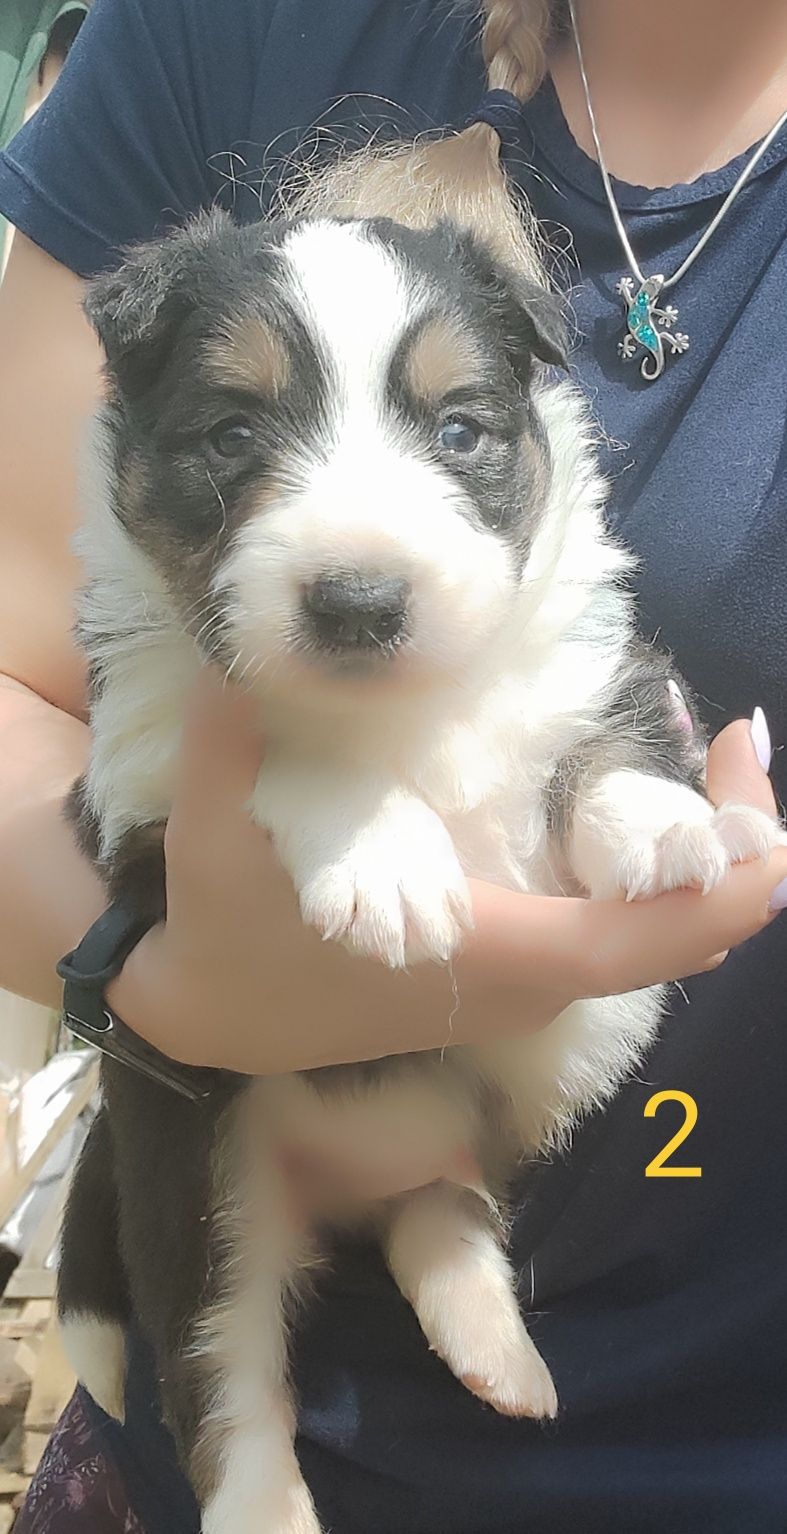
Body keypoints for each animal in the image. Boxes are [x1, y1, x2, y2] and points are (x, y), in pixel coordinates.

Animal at [56, 207, 779, 1534]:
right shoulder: (138, 808)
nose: (357, 601)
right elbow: (286, 746)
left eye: (457, 430)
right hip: (196, 1170)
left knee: (438, 1201)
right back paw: (265, 1504)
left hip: (480, 1105)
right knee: (217, 1371)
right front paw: (384, 862)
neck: (408, 705)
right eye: (233, 433)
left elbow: (607, 740)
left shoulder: (602, 657)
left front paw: (668, 828)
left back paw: (493, 1345)